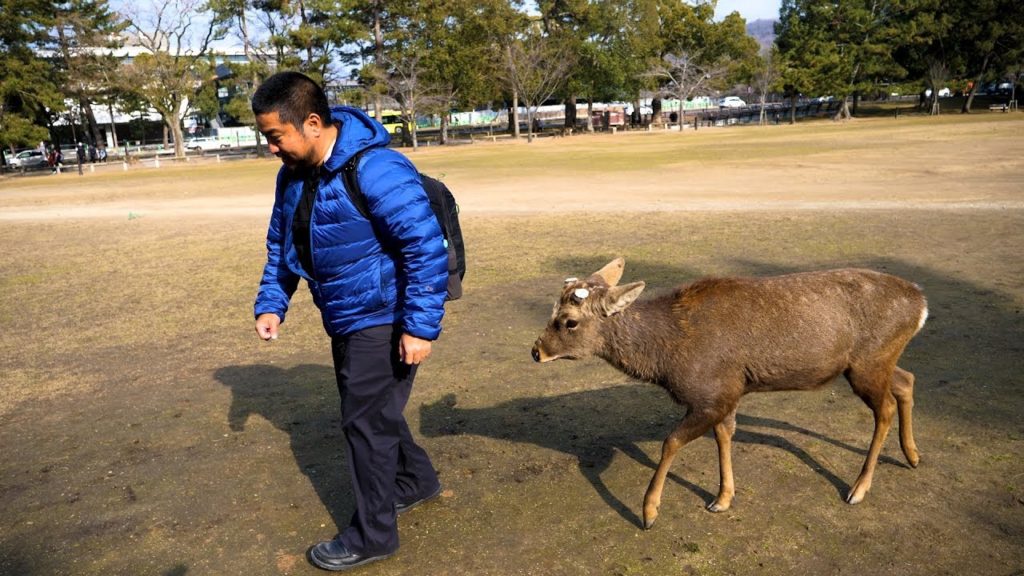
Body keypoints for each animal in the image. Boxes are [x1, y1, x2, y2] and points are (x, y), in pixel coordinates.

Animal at [531, 258, 927, 529]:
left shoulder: (712, 393)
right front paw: (722, 498)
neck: (667, 360)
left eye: (569, 321)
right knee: (906, 380)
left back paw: (859, 488)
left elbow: (671, 442)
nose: (536, 351)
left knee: (885, 407)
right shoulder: (730, 392)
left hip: (868, 364)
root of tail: (921, 303)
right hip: (876, 362)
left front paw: (648, 511)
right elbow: (724, 434)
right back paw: (912, 455)